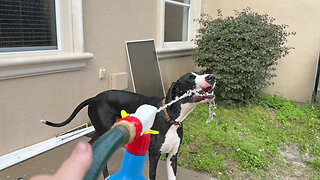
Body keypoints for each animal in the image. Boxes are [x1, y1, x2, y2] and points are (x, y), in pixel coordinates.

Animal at [42, 71, 215, 180]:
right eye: (191, 77)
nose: (212, 77)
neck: (171, 117)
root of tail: (94, 98)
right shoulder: (154, 155)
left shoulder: (173, 156)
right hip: (106, 131)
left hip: (102, 132)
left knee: (92, 144)